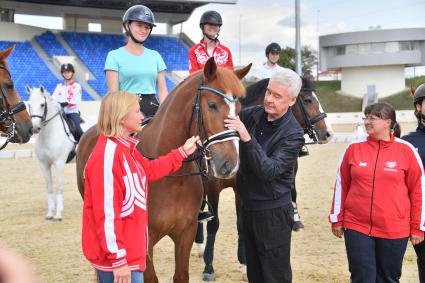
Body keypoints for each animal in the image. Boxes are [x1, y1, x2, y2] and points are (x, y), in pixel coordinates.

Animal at [26, 86, 76, 222]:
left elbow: (59, 186)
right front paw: (50, 213)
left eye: (42, 104)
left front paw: (58, 215)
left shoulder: (59, 163)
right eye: (29, 105)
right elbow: (49, 187)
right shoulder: (43, 164)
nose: (34, 128)